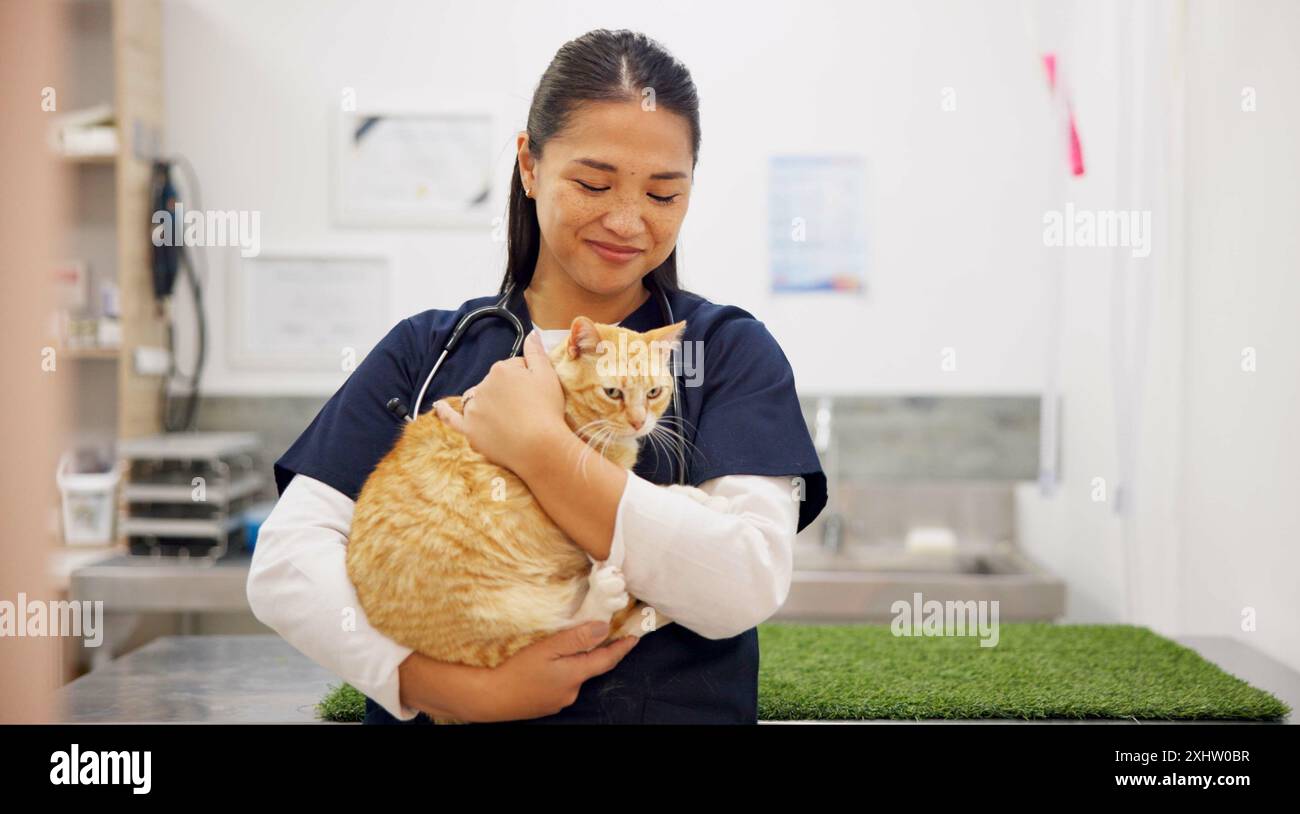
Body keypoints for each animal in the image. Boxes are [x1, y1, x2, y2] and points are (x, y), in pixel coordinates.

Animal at [345, 313, 691, 712]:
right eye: (612, 393)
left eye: (653, 394)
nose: (638, 422)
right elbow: (633, 496)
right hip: (493, 611)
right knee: (578, 630)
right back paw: (603, 595)